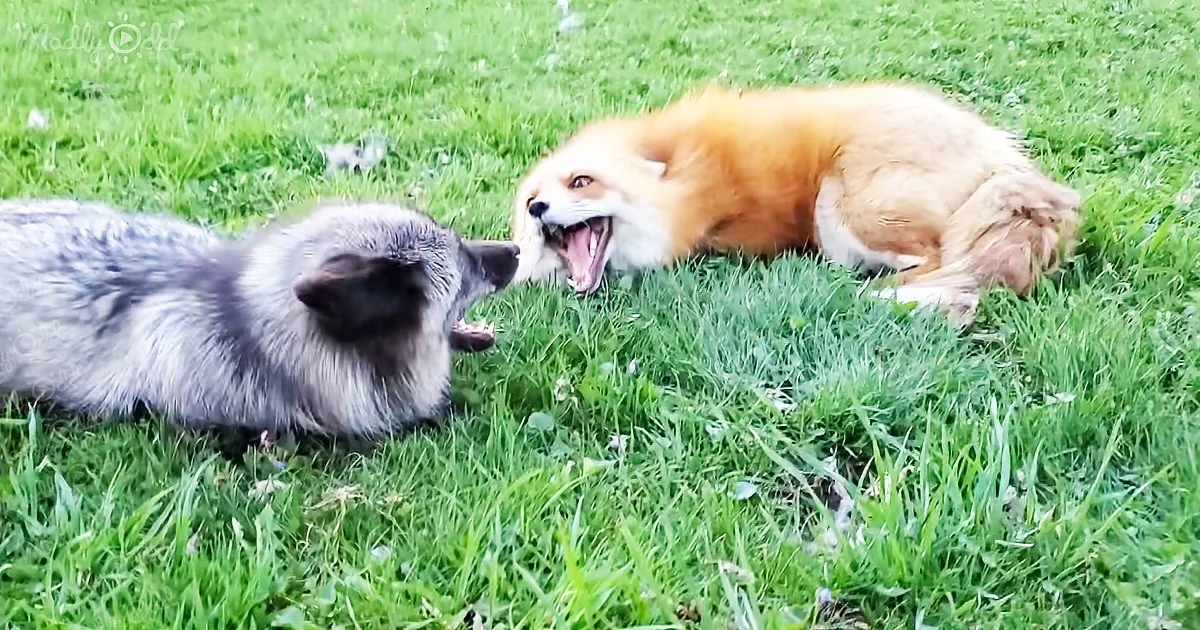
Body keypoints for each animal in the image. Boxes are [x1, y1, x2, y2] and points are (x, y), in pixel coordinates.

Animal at [509, 82, 1082, 326]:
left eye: (581, 181)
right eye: (533, 200)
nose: (539, 211)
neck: (687, 184)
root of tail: (1006, 158)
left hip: (844, 210)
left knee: (938, 262)